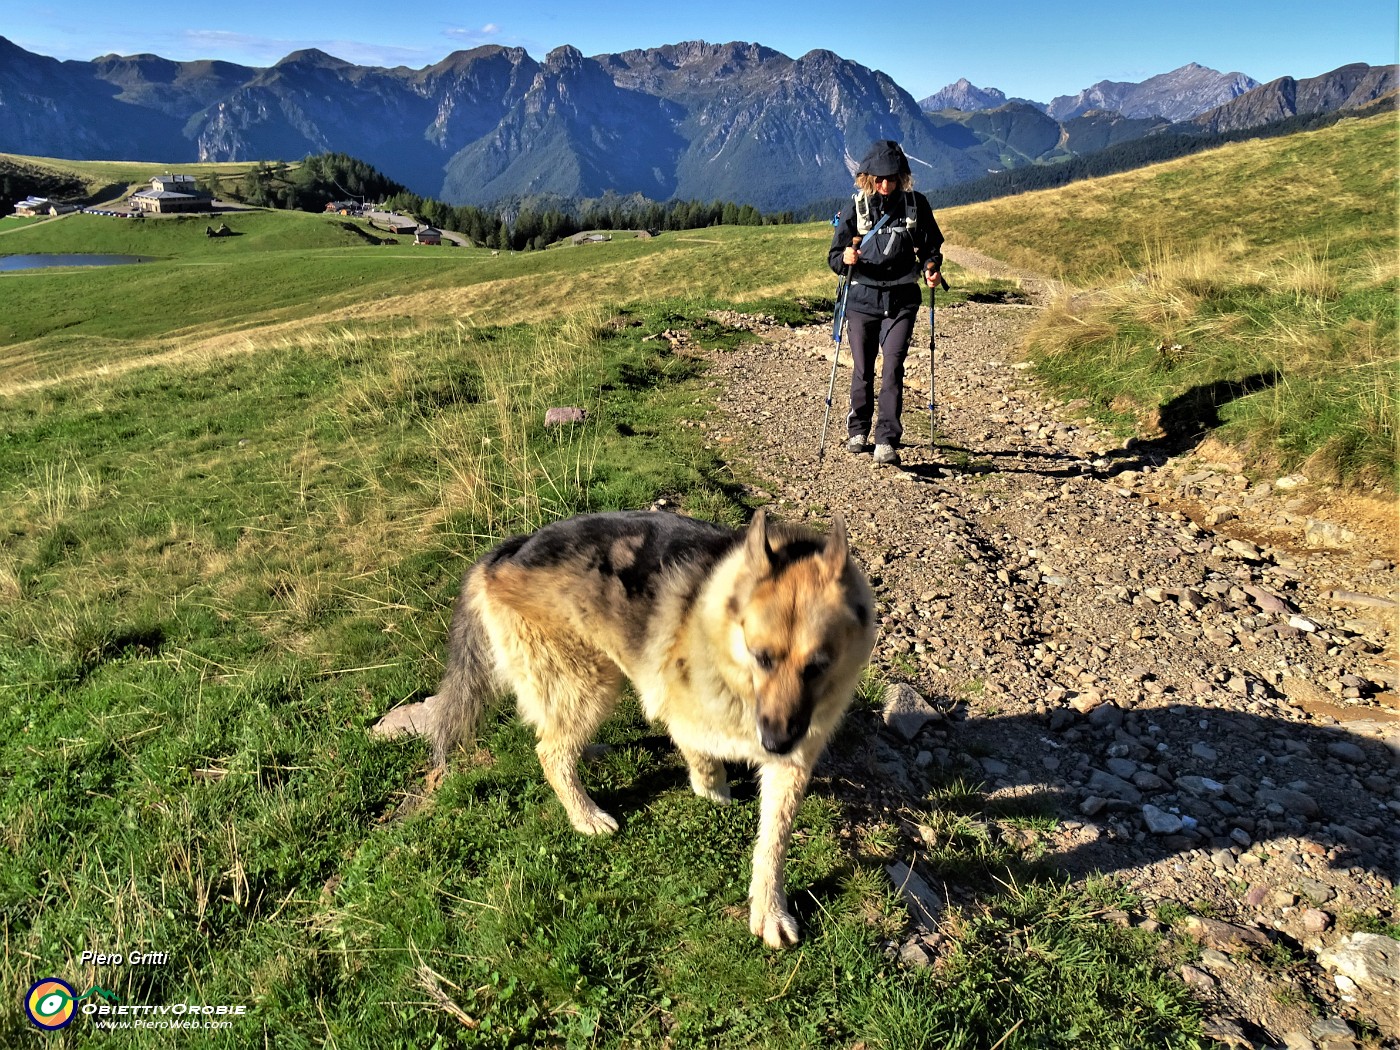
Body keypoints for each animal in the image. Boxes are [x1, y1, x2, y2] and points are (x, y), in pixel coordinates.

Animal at [422, 506, 873, 952]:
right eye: (761, 657)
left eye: (817, 666)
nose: (777, 743)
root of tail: (506, 553)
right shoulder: (681, 710)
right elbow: (700, 753)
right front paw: (713, 789)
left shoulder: (794, 760)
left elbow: (773, 841)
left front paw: (769, 910)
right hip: (591, 681)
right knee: (549, 751)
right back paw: (585, 814)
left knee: (558, 734)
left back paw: (587, 752)